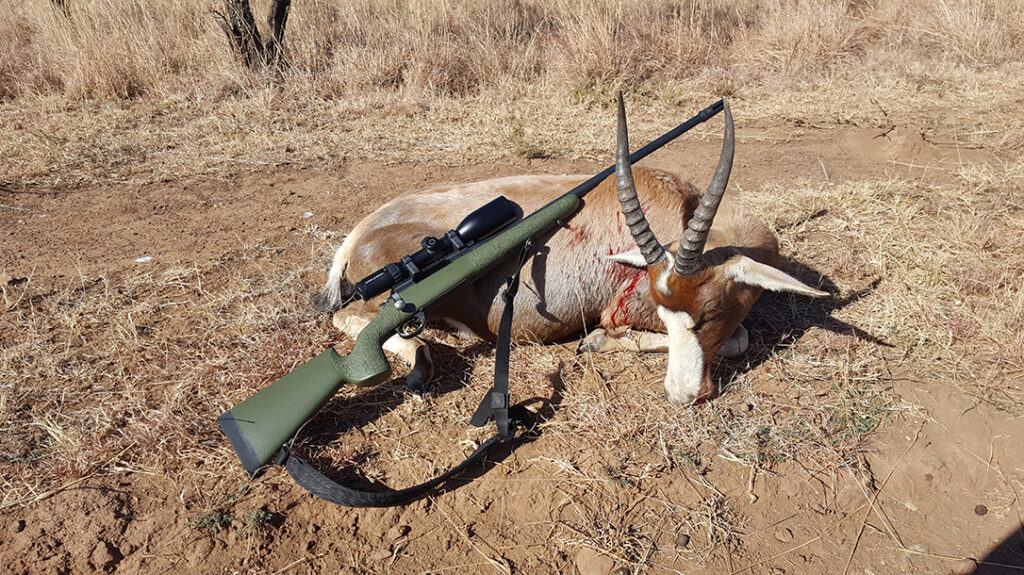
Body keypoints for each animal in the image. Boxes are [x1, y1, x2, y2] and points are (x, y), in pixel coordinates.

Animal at [315, 99, 827, 403]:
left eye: (710, 313)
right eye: (672, 315)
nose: (684, 396)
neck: (678, 209)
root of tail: (357, 236)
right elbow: (739, 340)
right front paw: (597, 341)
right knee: (349, 319)